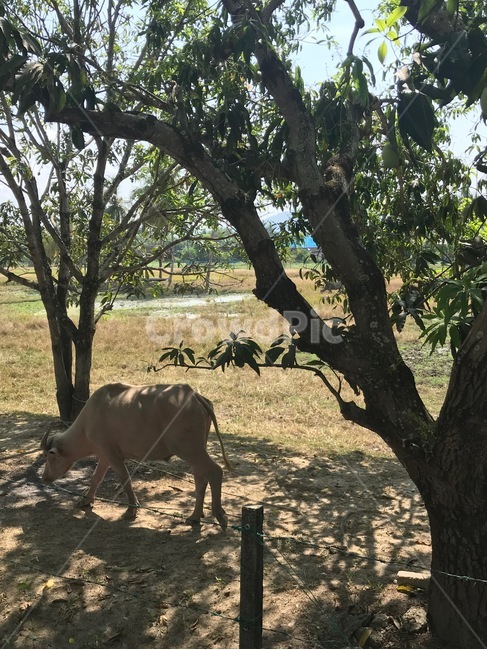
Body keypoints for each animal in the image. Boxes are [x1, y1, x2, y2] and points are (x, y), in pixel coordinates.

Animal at [40, 383, 231, 530]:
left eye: (49, 458)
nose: (44, 477)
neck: (88, 422)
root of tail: (194, 395)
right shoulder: (105, 455)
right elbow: (96, 478)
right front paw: (86, 500)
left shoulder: (113, 456)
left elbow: (125, 480)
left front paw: (131, 509)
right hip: (194, 451)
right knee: (200, 478)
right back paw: (195, 515)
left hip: (189, 449)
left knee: (215, 471)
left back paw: (220, 515)